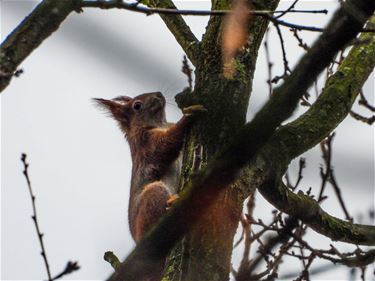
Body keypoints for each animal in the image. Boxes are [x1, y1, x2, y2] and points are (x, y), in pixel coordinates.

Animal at [94, 92, 206, 241]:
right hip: (152, 197)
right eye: (137, 106)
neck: (161, 123)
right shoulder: (147, 144)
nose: (159, 94)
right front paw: (188, 116)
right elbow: (166, 144)